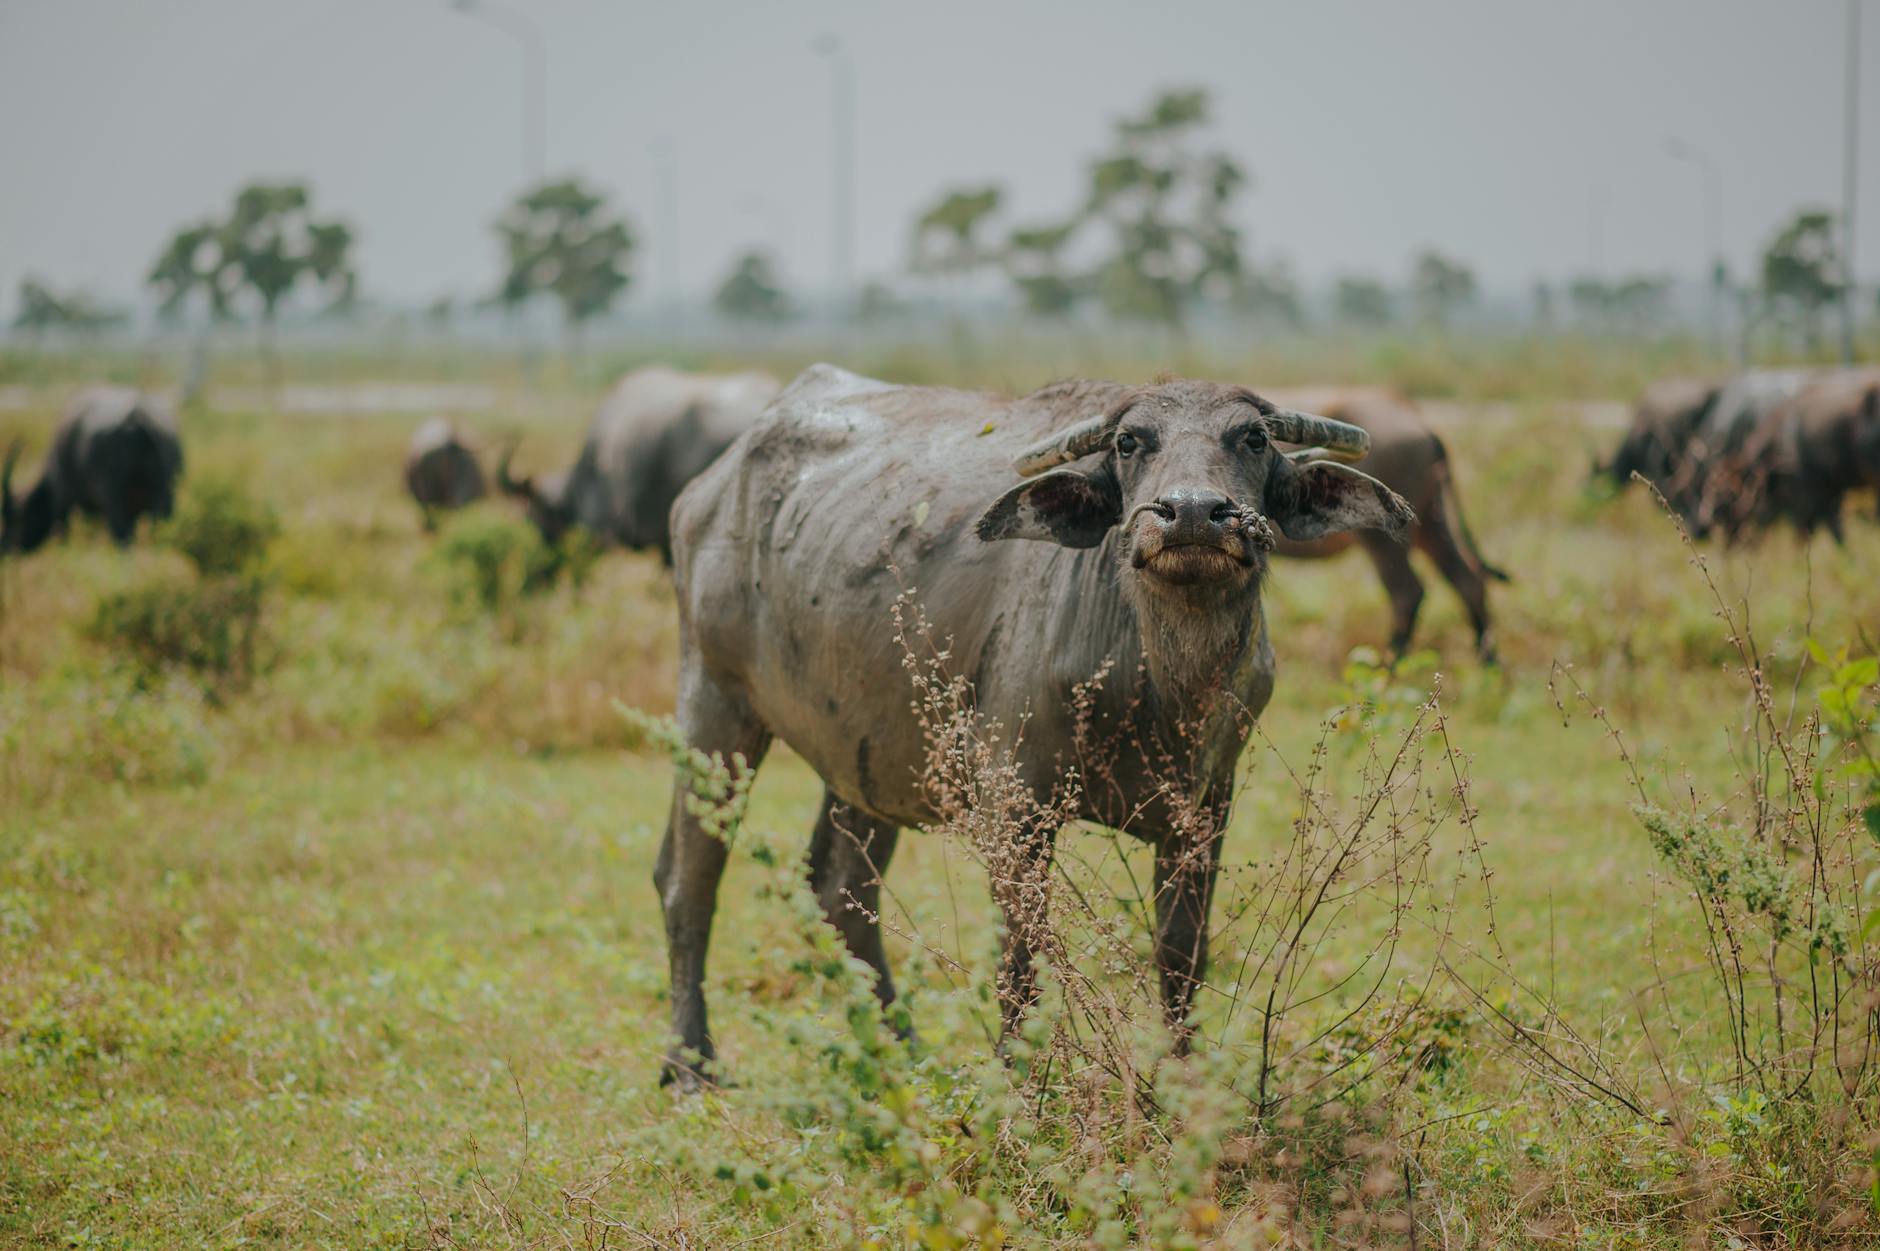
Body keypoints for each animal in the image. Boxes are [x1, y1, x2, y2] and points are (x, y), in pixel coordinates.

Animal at [2, 386, 184, 553]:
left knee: (122, 538)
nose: (4, 547)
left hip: (114, 501)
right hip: (164, 497)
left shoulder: (62, 501)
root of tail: (137, 418)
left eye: (16, 520)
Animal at [655, 365, 1412, 1086]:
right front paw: (1018, 1081)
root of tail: (707, 491)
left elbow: (1181, 955)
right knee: (689, 880)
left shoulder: (1205, 807)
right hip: (714, 708)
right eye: (1129, 442)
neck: (1157, 684)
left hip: (868, 755)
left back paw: (902, 1050)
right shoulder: (1013, 804)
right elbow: (1020, 958)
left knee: (840, 889)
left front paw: (1183, 1079)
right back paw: (692, 1064)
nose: (1194, 512)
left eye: (1252, 439)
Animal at [1266, 388, 1507, 660]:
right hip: (1431, 521)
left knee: (1407, 592)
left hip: (1382, 537)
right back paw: (1487, 661)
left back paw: (1390, 663)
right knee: (1467, 577)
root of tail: (1418, 418)